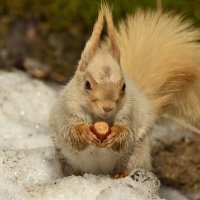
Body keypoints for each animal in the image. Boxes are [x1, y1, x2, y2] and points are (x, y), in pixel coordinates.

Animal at [49, 4, 200, 177]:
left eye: (123, 86)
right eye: (87, 85)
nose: (108, 107)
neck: (99, 118)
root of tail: (99, 172)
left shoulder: (128, 114)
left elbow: (126, 136)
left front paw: (116, 134)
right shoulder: (69, 111)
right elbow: (71, 134)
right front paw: (84, 132)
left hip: (136, 154)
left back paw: (121, 176)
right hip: (63, 158)